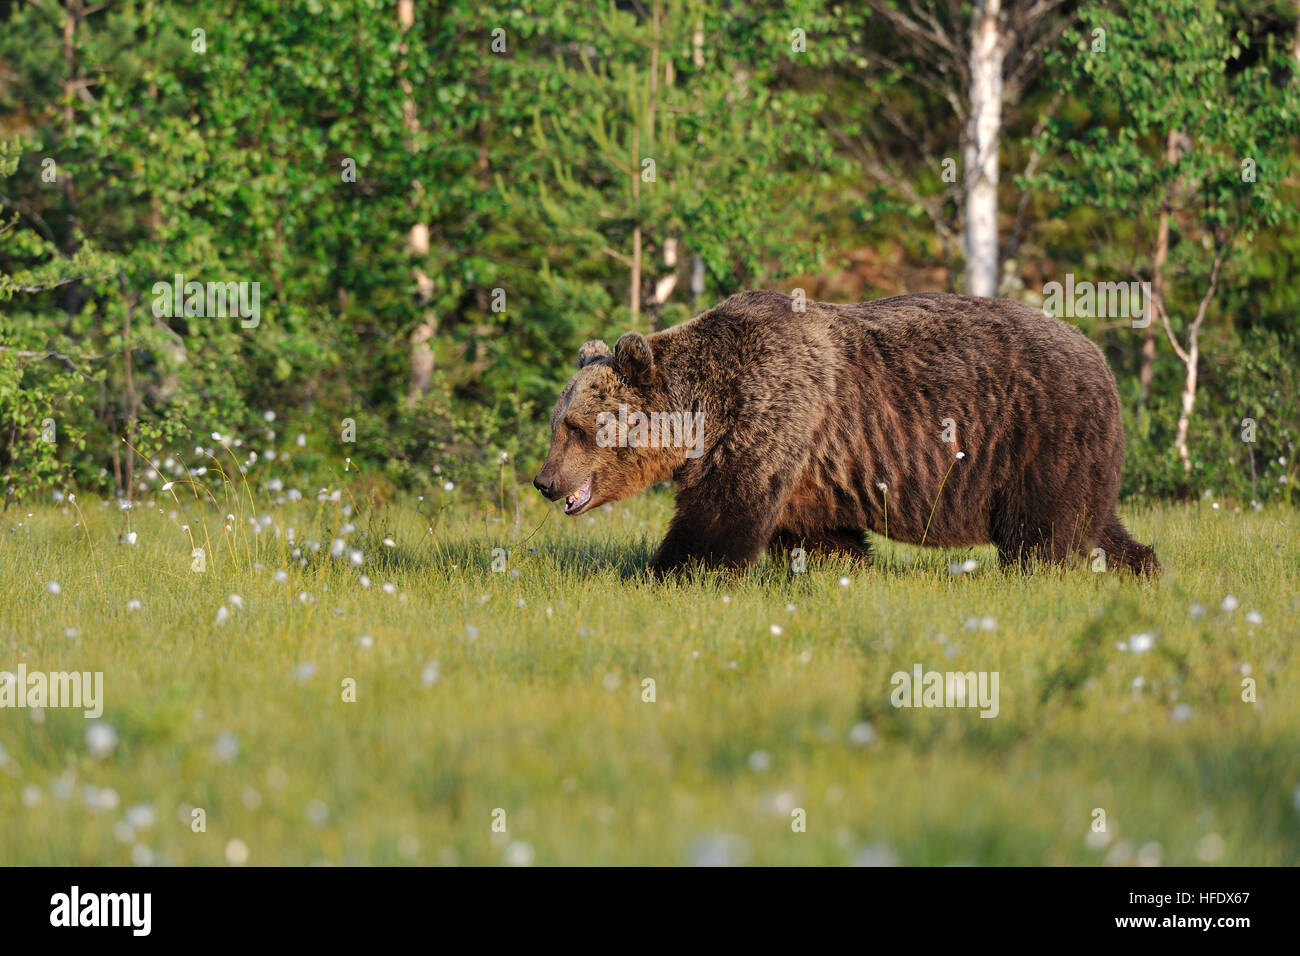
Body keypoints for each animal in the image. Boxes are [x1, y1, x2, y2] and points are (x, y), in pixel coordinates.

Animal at [532, 290, 1159, 576]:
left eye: (577, 427)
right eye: (558, 423)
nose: (543, 480)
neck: (703, 414)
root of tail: (1101, 358)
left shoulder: (768, 411)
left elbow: (719, 518)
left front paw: (660, 572)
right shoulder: (809, 466)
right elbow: (818, 533)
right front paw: (844, 564)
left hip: (1038, 435)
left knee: (1044, 536)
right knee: (1096, 526)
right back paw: (1141, 567)